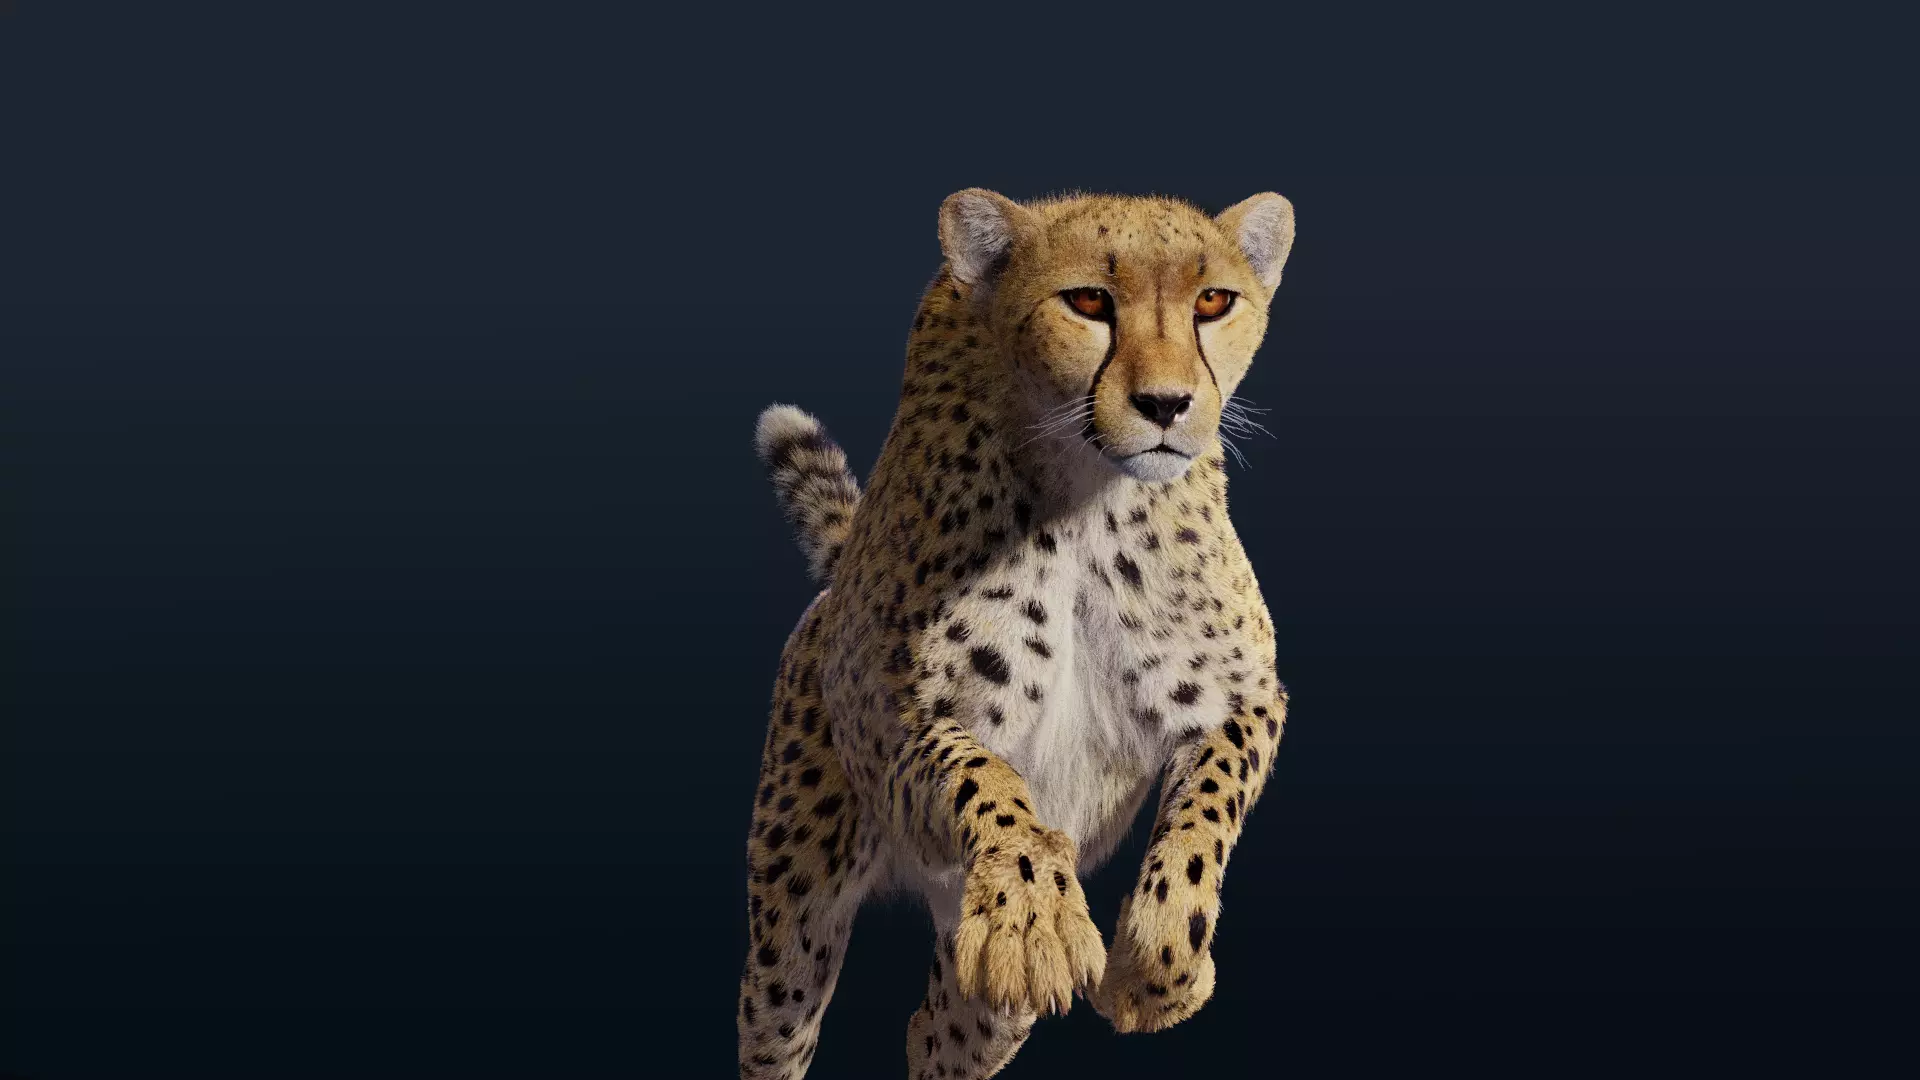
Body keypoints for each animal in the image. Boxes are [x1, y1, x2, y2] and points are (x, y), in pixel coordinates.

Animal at [738, 187, 1297, 1079]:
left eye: (1213, 300)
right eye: (1089, 302)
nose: (1167, 404)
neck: (1091, 499)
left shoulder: (1247, 700)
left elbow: (1209, 805)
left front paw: (1159, 963)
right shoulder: (898, 727)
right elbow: (988, 777)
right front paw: (1034, 913)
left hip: (977, 1004)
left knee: (934, 1030)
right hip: (794, 911)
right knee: (780, 1021)